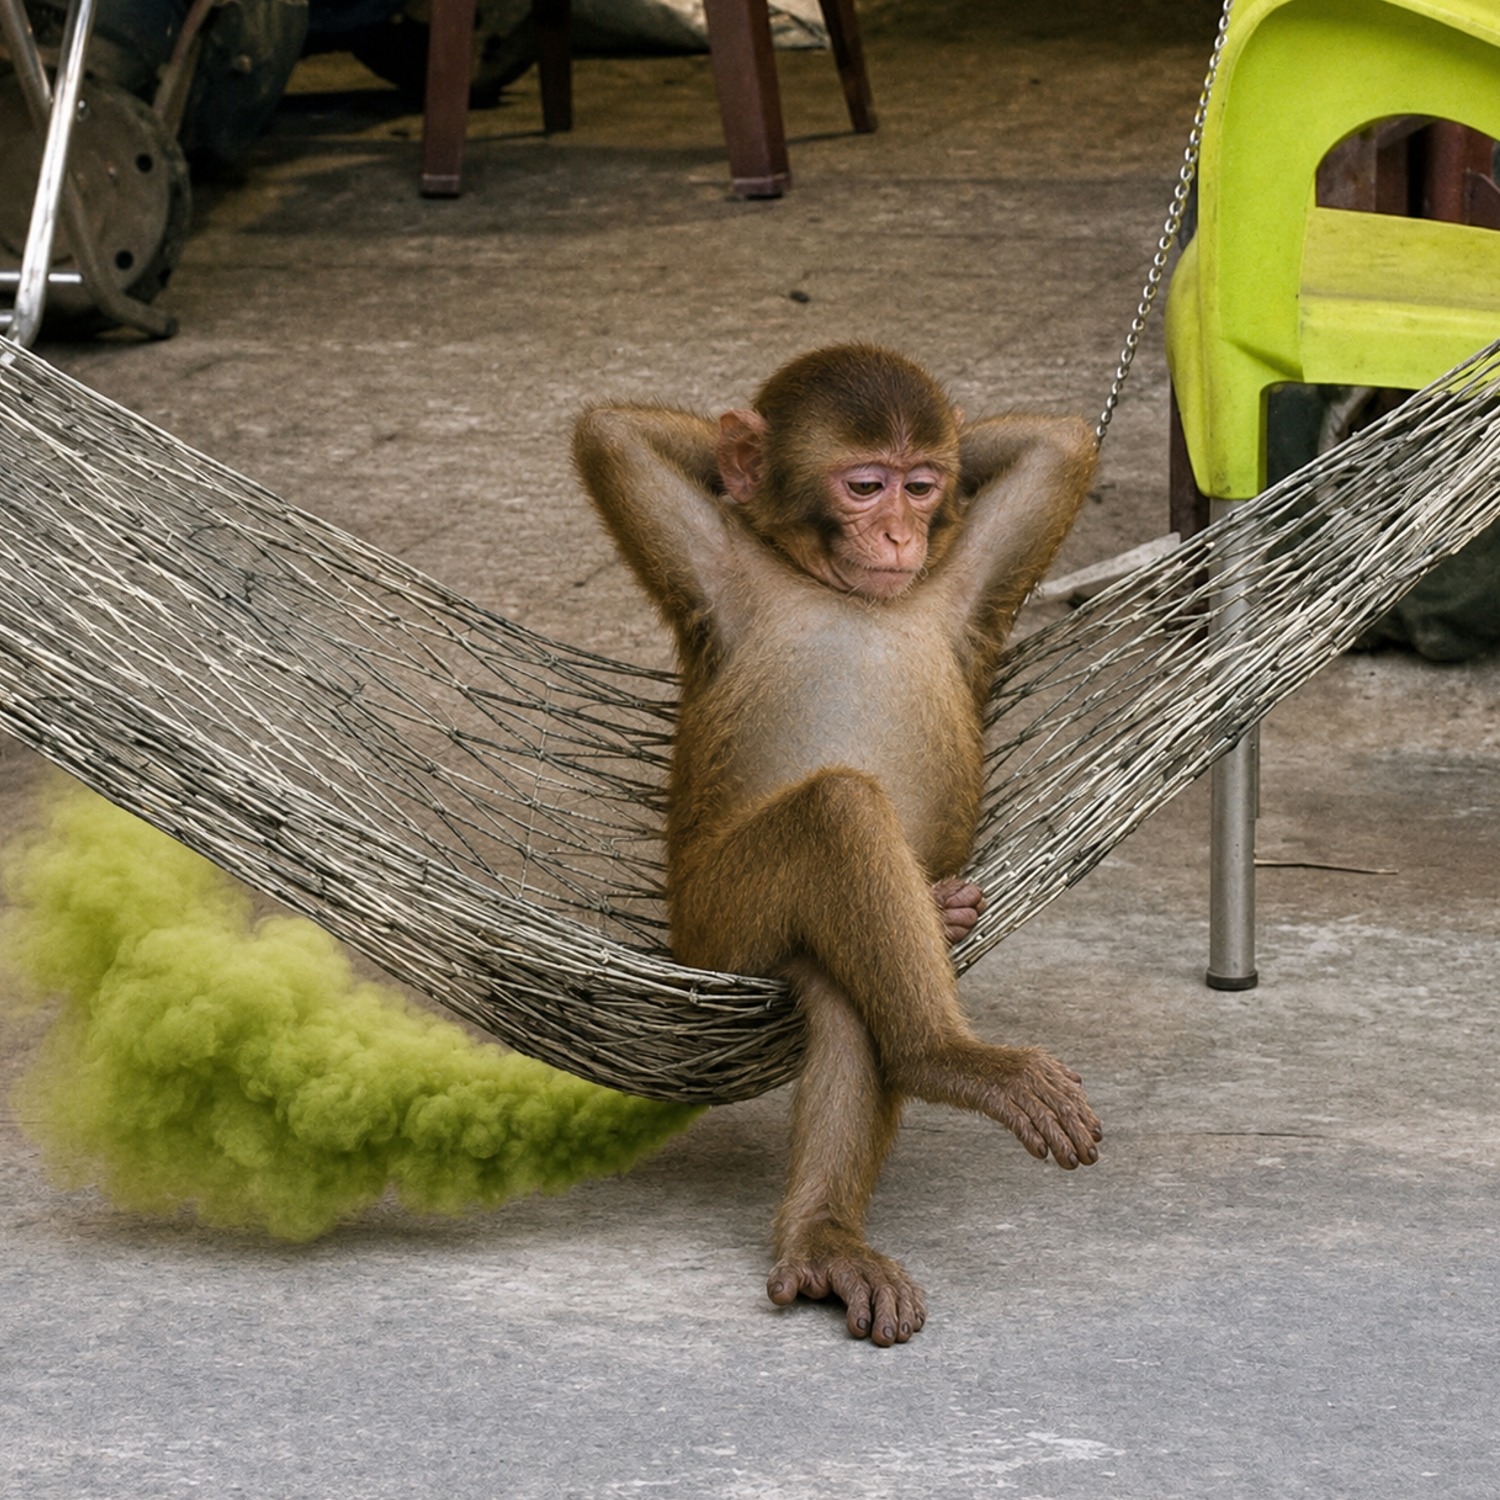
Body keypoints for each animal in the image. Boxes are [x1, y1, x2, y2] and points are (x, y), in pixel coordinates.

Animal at [573, 344, 1101, 1347]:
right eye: (865, 486)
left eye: (921, 484)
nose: (899, 535)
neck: (830, 583)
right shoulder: (713, 565)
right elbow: (609, 434)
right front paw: (732, 455)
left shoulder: (965, 575)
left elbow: (1061, 444)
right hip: (718, 921)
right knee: (839, 809)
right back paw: (942, 1058)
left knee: (854, 1014)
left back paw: (830, 1226)